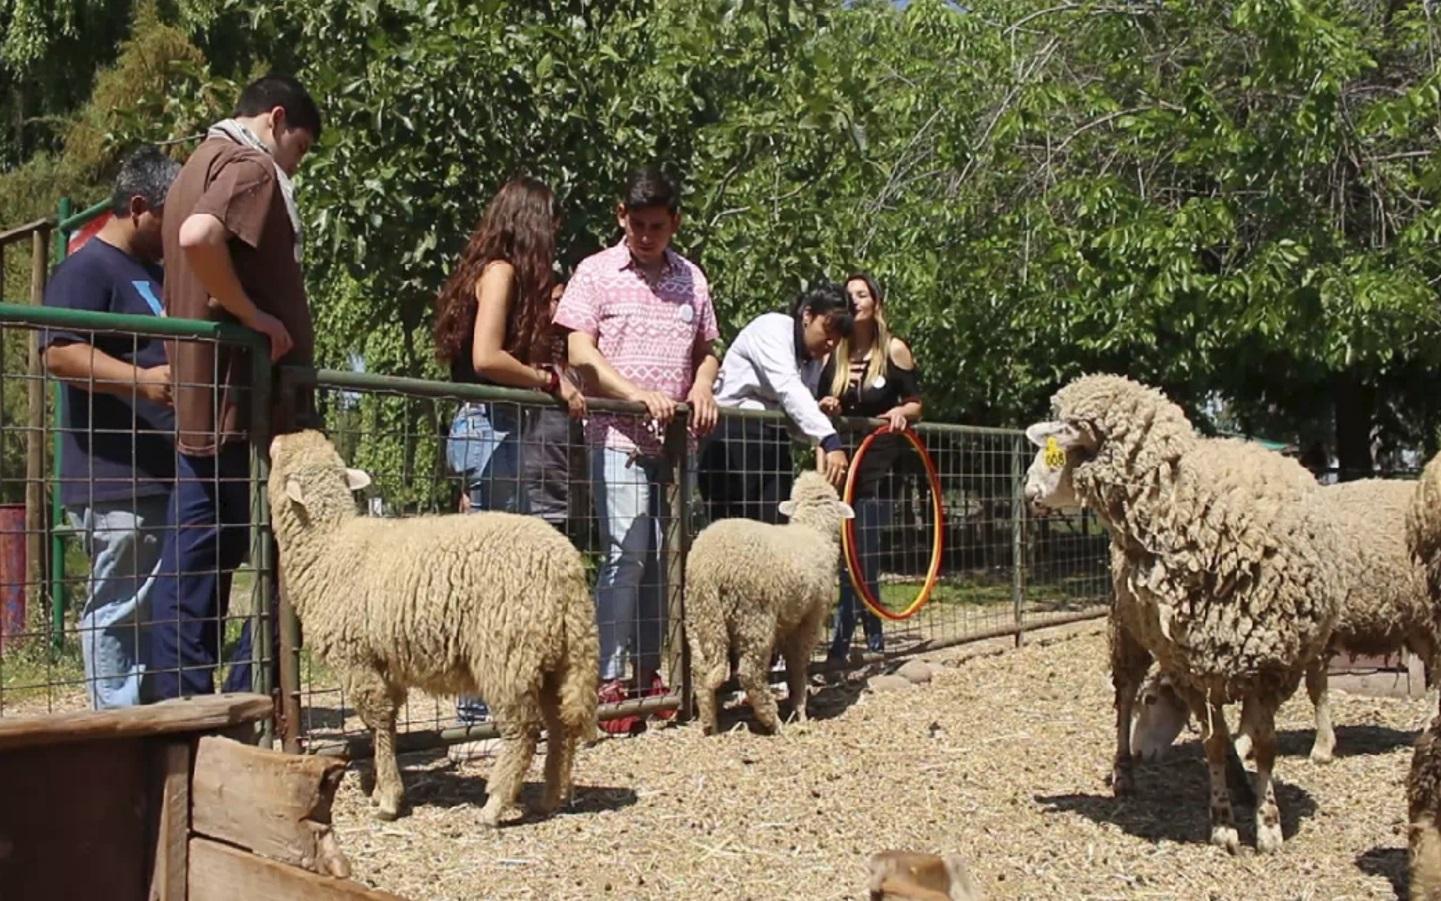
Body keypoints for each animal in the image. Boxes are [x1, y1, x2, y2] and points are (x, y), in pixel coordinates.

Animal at [269, 429, 596, 824]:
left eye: (279, 456)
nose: (277, 437)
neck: (329, 546)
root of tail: (568, 570)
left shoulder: (355, 658)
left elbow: (377, 718)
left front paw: (388, 799)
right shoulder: (385, 660)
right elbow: (390, 719)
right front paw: (380, 790)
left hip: (507, 652)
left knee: (523, 730)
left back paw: (495, 804)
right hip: (553, 656)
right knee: (560, 724)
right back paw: (549, 798)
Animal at [685, 467, 853, 735]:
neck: (814, 532)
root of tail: (708, 567)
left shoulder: (788, 620)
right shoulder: (810, 619)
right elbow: (797, 663)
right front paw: (800, 709)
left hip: (698, 616)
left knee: (701, 672)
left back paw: (710, 724)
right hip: (753, 617)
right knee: (750, 674)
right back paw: (772, 721)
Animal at [1025, 371, 1337, 847]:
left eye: (1055, 448)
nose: (1027, 491)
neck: (1187, 507)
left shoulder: (1272, 666)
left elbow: (1263, 743)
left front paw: (1267, 824)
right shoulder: (1189, 667)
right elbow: (1212, 743)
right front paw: (1224, 824)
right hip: (1128, 629)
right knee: (1124, 696)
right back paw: (1125, 774)